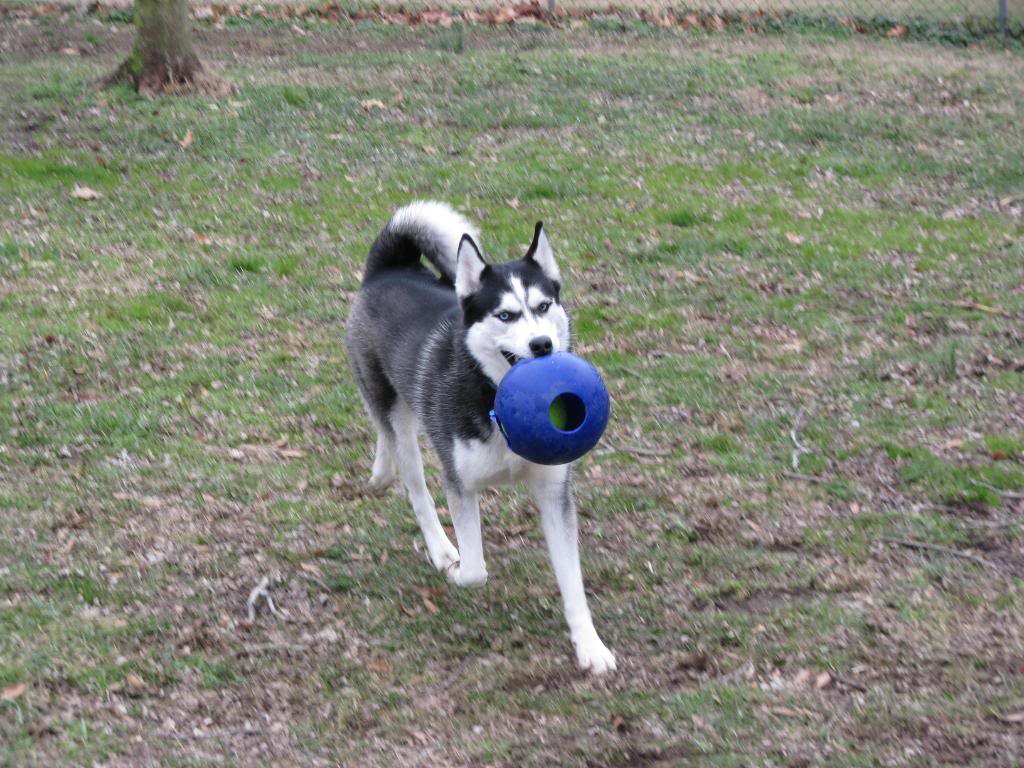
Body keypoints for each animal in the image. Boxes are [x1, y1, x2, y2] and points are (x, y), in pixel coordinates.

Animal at [344, 202, 614, 671]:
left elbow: (573, 582)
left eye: (544, 306)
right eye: (505, 315)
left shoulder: (554, 492)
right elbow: (474, 570)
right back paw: (437, 545)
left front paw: (590, 647)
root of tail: (388, 268)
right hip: (403, 426)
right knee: (412, 481)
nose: (542, 345)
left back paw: (381, 469)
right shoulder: (460, 485)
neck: (498, 400)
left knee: (384, 435)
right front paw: (456, 570)